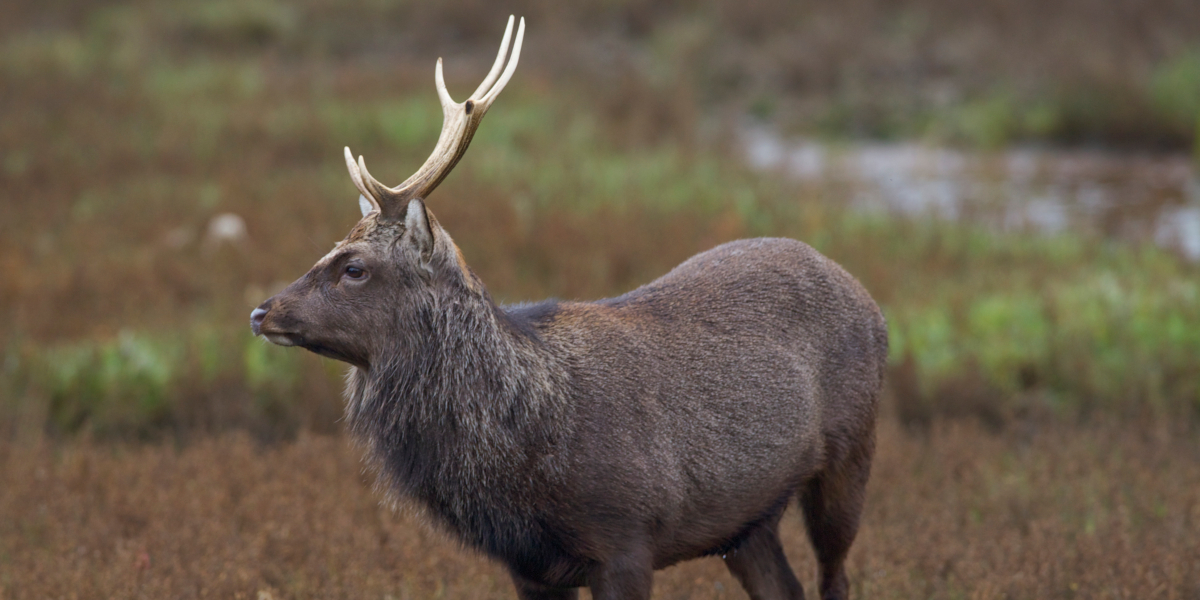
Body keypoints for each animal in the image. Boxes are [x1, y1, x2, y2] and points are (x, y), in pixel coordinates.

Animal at [248, 15, 888, 600]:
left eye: (354, 267)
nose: (261, 312)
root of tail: (869, 299)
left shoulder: (627, 539)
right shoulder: (529, 565)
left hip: (852, 450)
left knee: (836, 577)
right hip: (747, 522)